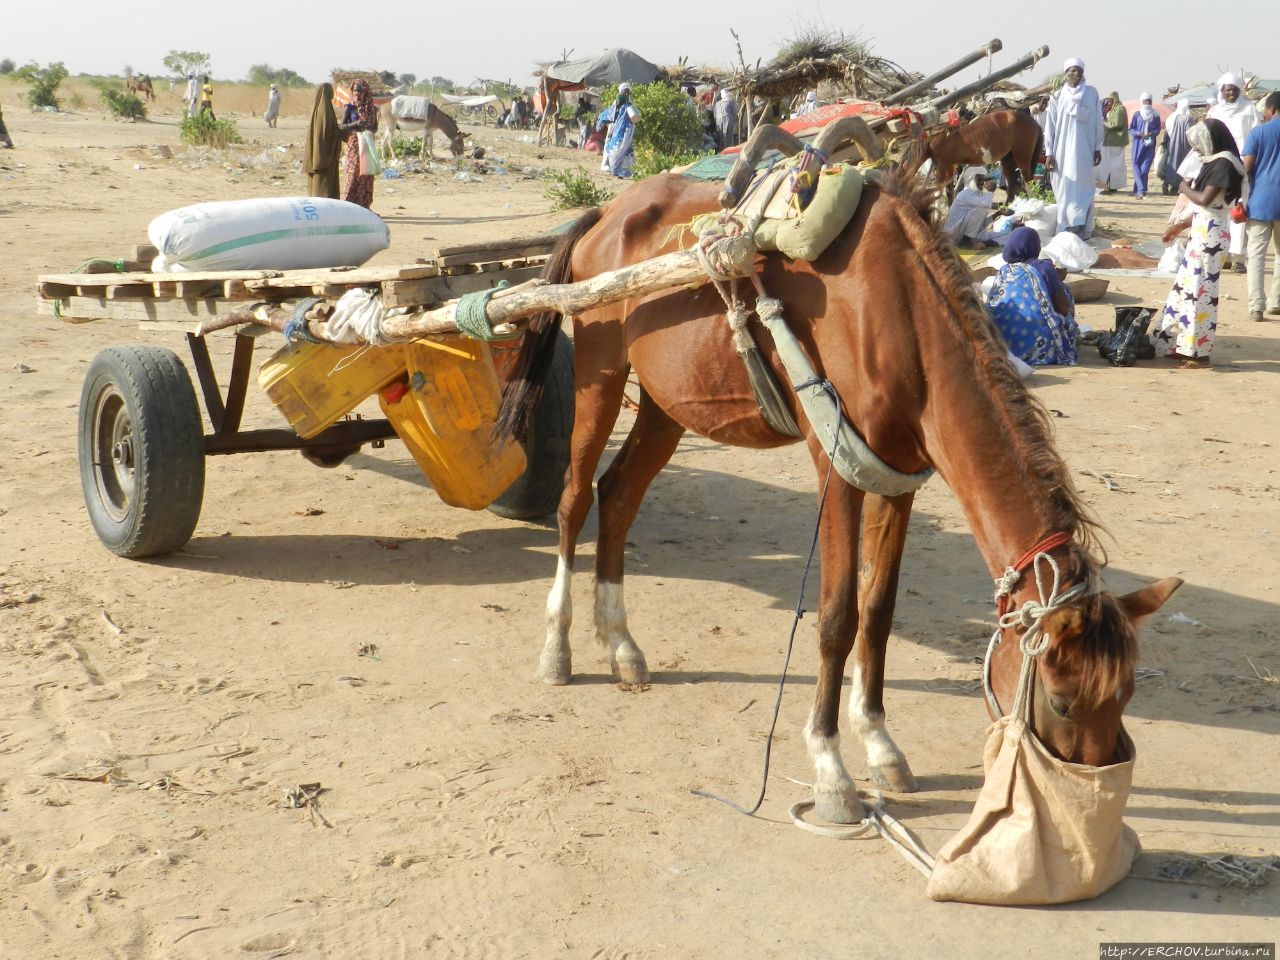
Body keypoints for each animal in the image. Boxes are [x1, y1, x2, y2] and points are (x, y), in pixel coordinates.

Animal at [491, 161, 1177, 824]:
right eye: (1061, 702)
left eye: (1126, 693)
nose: (1088, 794)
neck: (899, 313)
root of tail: (608, 213)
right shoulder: (838, 471)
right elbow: (837, 617)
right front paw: (831, 770)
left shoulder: (898, 479)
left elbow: (877, 612)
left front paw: (880, 744)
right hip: (601, 373)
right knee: (576, 500)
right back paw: (557, 649)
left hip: (668, 402)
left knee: (619, 494)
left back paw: (622, 646)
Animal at [911, 106, 1039, 199]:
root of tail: (1033, 122)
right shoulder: (947, 166)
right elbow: (949, 192)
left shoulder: (944, 165)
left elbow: (940, 193)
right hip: (1008, 158)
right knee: (1012, 183)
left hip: (1022, 155)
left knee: (1027, 180)